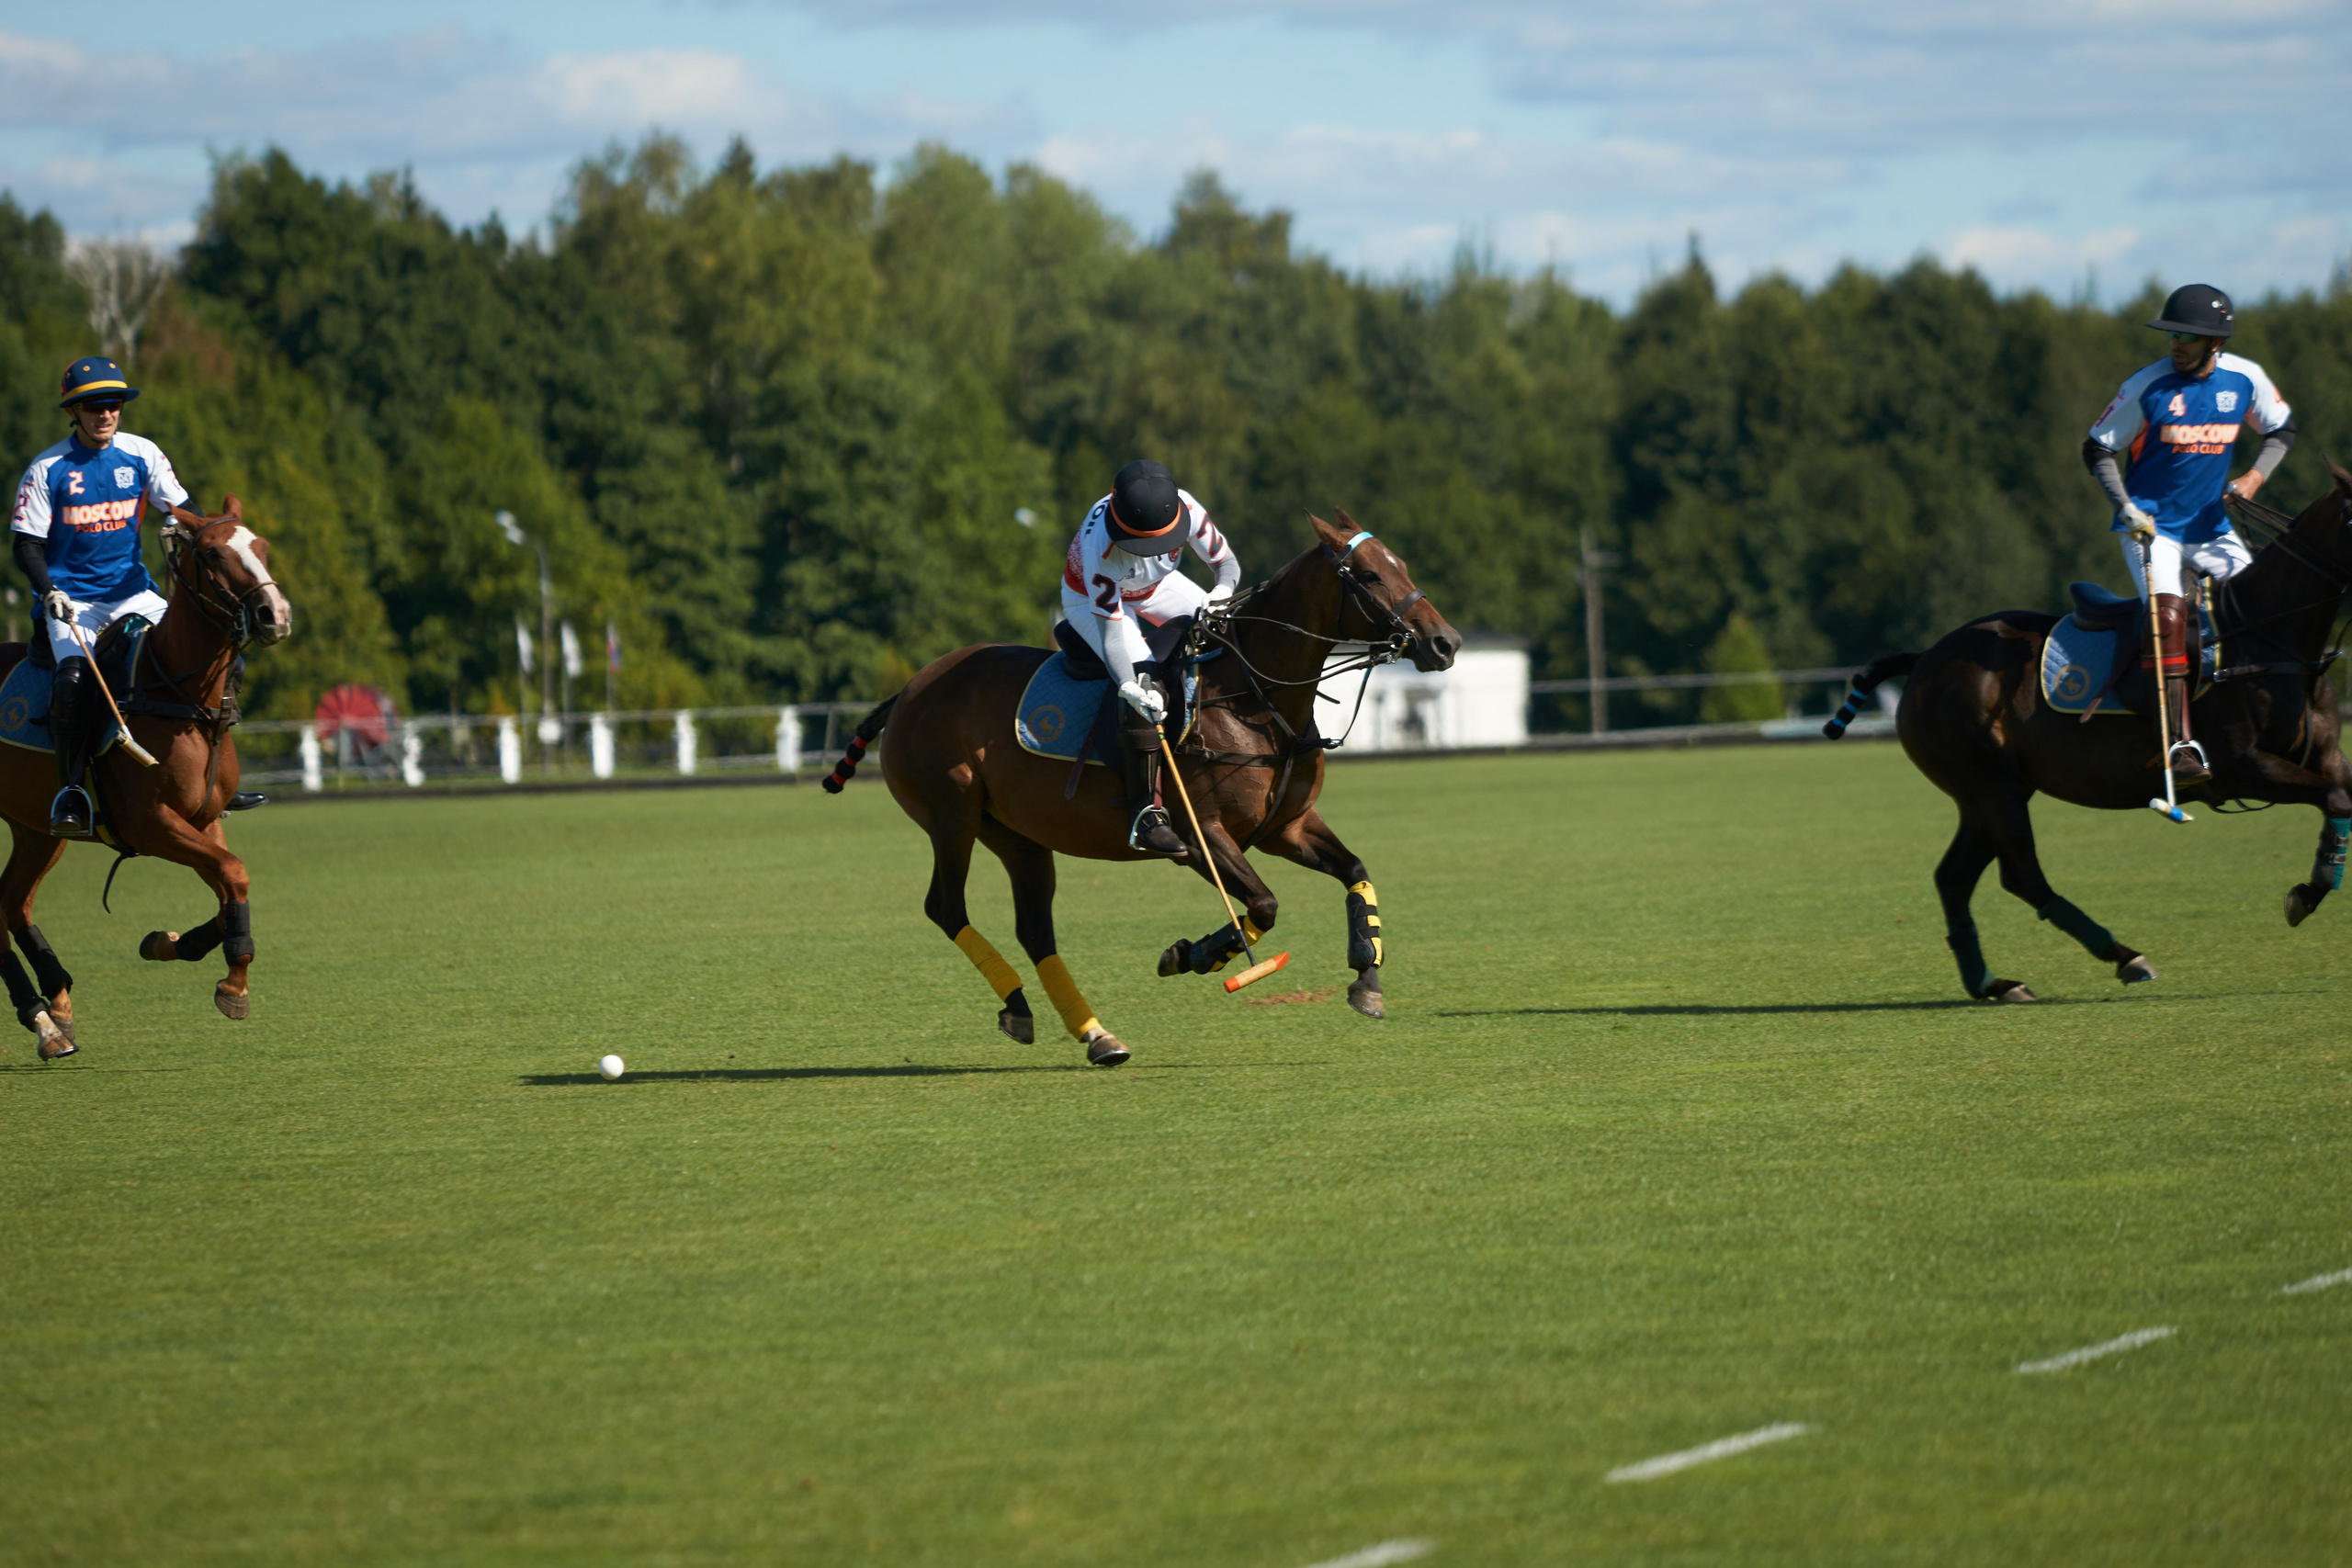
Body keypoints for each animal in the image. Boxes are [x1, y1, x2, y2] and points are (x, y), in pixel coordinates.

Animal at [1, 498, 292, 1058]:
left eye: (262, 546)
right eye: (212, 553)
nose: (276, 615)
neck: (181, 697)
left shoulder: (203, 819)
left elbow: (231, 887)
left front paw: (168, 943)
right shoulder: (149, 824)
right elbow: (235, 875)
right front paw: (233, 984)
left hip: (36, 828)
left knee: (11, 902)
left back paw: (54, 1009)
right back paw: (42, 1015)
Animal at [821, 511, 1462, 1064]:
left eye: (1402, 563)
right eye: (1371, 575)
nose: (1445, 643)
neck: (1254, 697)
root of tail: (907, 691)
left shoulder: (1286, 826)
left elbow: (1353, 870)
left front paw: (1367, 975)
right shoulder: (1200, 834)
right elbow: (1264, 903)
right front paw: (1195, 955)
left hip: (1018, 834)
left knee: (1034, 927)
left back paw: (1094, 1034)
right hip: (951, 815)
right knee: (946, 905)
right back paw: (1020, 1004)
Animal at [1825, 461, 2352, 1002]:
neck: (2271, 638)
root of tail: (1925, 659)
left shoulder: (2326, 756)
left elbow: (2340, 793)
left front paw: (2312, 890)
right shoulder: (2242, 767)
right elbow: (2335, 797)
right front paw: (2305, 895)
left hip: (1988, 792)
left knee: (1953, 877)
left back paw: (1993, 983)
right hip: (1990, 785)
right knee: (2021, 875)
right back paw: (2124, 956)